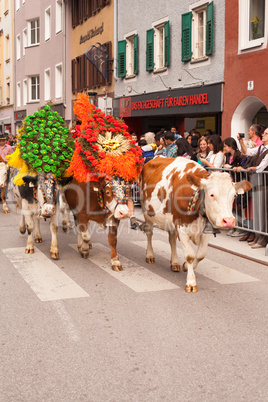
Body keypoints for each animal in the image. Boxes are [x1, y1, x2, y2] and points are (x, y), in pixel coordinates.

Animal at [140, 156, 251, 292]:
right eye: (212, 194)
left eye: (234, 196)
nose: (229, 221)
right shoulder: (181, 227)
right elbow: (190, 256)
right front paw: (191, 282)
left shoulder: (205, 229)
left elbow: (200, 255)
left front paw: (185, 266)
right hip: (147, 214)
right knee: (149, 234)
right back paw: (150, 255)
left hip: (171, 221)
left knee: (171, 240)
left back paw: (175, 263)